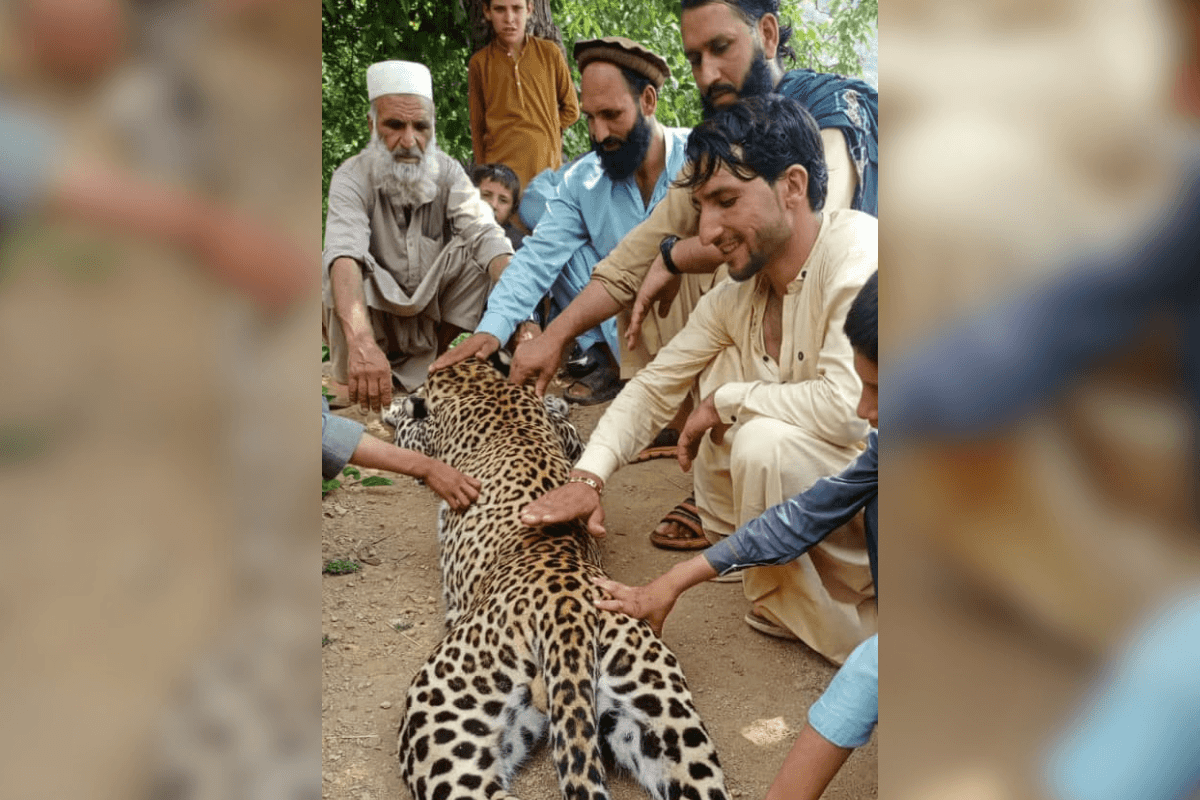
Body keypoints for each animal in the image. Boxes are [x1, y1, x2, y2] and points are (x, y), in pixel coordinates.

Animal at [386, 359, 728, 800]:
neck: (483, 382)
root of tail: (567, 617)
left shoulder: (424, 441)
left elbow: (407, 429)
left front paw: (395, 407)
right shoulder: (566, 437)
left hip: (443, 714)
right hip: (660, 713)